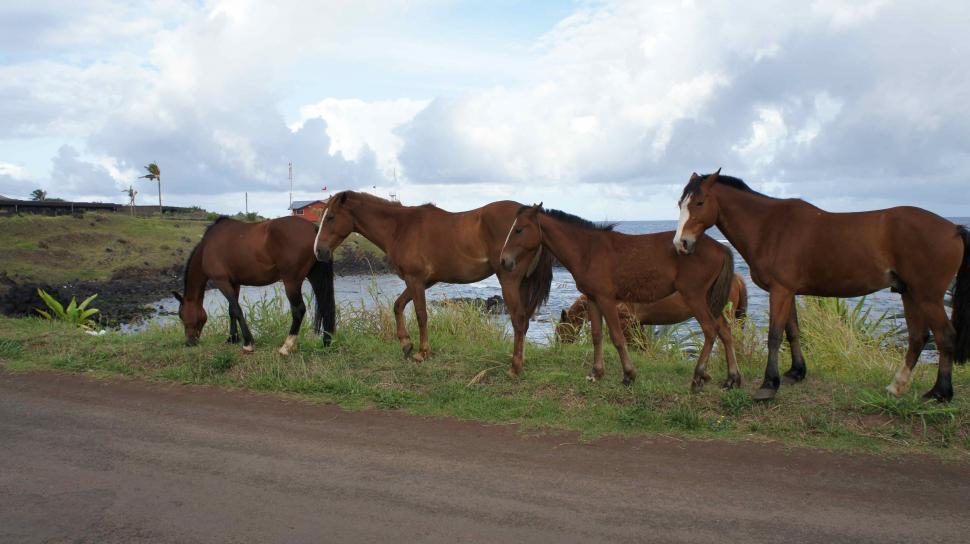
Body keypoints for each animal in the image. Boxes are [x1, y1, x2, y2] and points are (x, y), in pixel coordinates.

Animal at [173, 216, 336, 355]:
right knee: (325, 307)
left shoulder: (221, 281)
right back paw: (326, 343)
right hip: (314, 276)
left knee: (299, 310)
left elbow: (237, 310)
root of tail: (314, 229)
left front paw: (248, 342)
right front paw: (232, 338)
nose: (189, 342)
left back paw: (287, 346)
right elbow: (232, 310)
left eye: (181, 315)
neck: (207, 246)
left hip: (292, 282)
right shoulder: (234, 283)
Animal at [312, 191, 553, 375]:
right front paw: (406, 344)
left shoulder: (415, 280)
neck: (400, 227)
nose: (319, 251)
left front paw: (421, 352)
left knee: (519, 320)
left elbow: (421, 315)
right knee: (523, 321)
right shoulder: (421, 282)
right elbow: (398, 306)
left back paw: (515, 367)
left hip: (509, 280)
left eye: (331, 217)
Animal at [674, 169, 970, 401]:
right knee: (918, 338)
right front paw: (796, 372)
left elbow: (774, 336)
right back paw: (897, 386)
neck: (770, 227)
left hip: (928, 297)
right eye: (680, 204)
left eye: (699, 202)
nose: (681, 243)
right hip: (909, 293)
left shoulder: (780, 291)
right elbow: (793, 332)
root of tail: (953, 228)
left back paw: (940, 393)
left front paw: (769, 384)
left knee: (945, 336)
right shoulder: (787, 291)